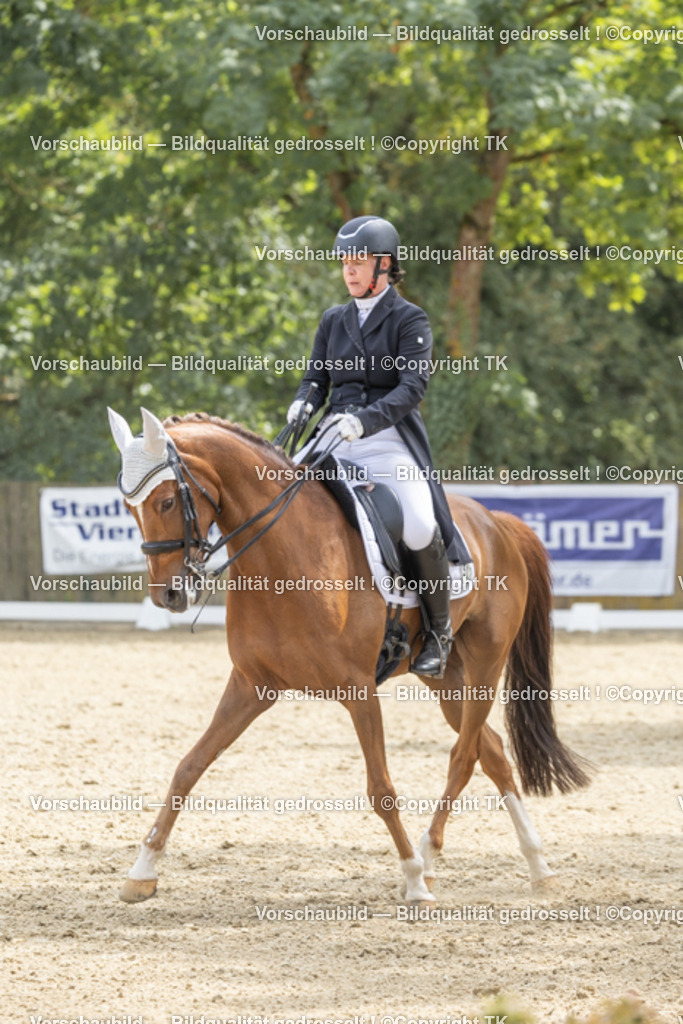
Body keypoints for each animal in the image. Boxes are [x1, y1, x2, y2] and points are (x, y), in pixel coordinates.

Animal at [107, 407, 591, 904]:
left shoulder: (358, 689)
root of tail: (495, 520)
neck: (282, 554)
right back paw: (537, 865)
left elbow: (381, 789)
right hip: (444, 679)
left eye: (166, 502)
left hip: (484, 667)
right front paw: (142, 871)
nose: (168, 595)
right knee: (490, 752)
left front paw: (413, 880)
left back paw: (431, 859)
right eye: (128, 507)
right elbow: (188, 767)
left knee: (464, 756)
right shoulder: (252, 685)